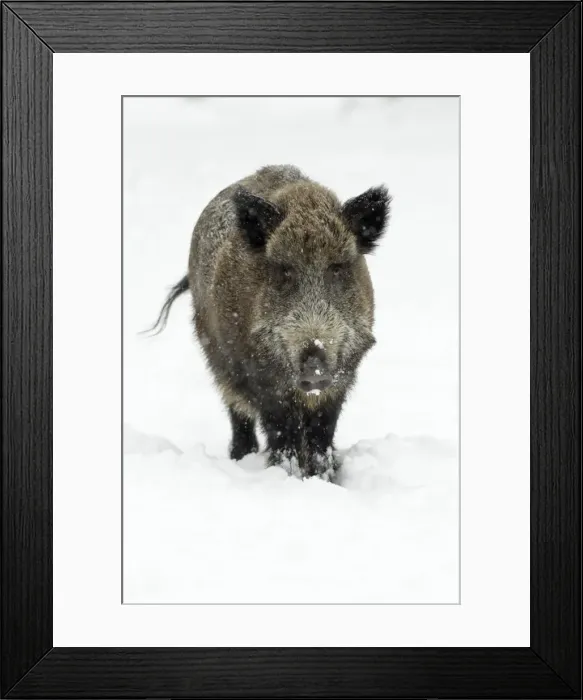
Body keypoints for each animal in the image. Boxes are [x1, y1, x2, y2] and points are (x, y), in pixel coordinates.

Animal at [148, 165, 391, 481]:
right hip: (217, 360)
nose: (314, 367)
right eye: (285, 270)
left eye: (337, 268)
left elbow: (321, 434)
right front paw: (288, 477)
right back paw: (241, 457)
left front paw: (324, 479)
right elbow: (282, 432)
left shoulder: (341, 379)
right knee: (238, 414)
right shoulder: (264, 380)